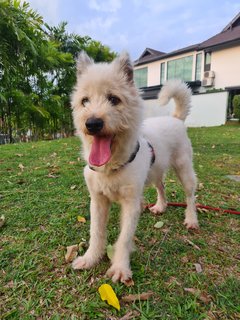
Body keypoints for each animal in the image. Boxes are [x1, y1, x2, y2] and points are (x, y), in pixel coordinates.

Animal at [70, 52, 198, 282]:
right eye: (85, 101)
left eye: (114, 99)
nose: (92, 123)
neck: (112, 166)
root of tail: (175, 118)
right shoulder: (98, 201)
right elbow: (96, 232)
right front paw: (90, 258)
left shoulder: (131, 203)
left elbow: (124, 238)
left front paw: (120, 267)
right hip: (155, 171)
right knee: (161, 187)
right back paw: (161, 206)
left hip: (184, 169)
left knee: (191, 195)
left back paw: (191, 219)